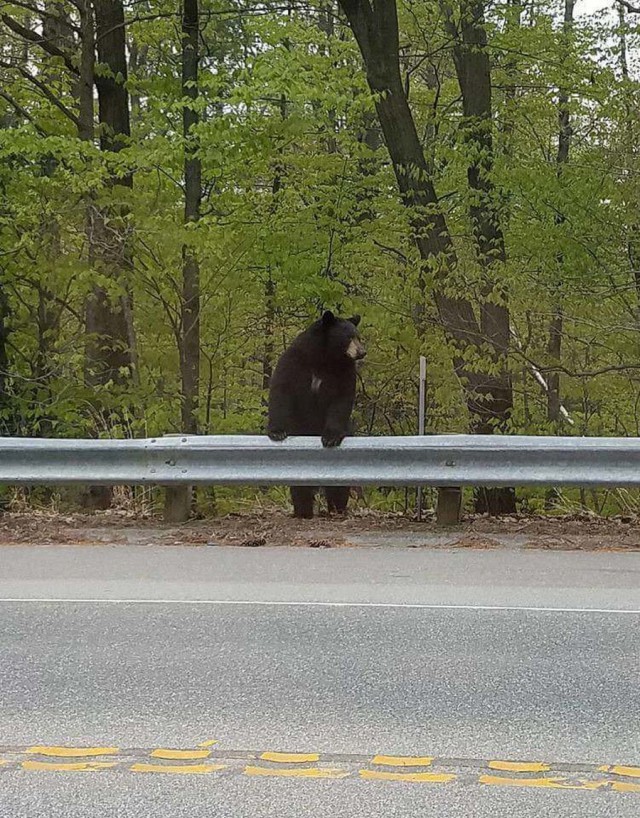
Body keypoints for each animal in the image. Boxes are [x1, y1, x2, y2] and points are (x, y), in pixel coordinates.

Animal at [264, 310, 364, 520]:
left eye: (358, 336)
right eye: (348, 336)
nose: (361, 352)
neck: (324, 357)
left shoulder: (344, 371)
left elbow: (341, 400)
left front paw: (330, 438)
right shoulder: (295, 362)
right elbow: (281, 389)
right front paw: (277, 431)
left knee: (338, 487)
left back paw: (337, 510)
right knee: (300, 486)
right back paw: (303, 511)